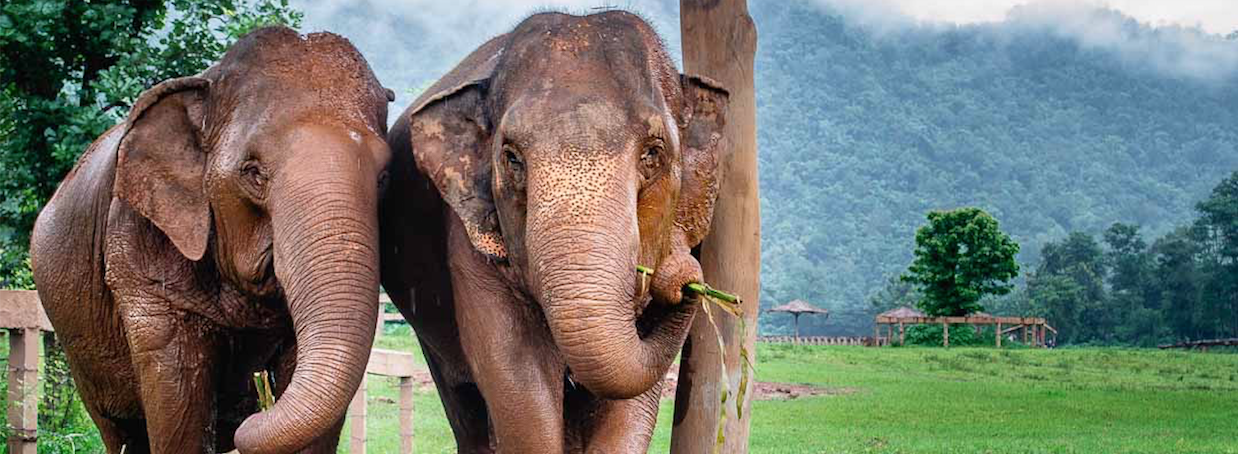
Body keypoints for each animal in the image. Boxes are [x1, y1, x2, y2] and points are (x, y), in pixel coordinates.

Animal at [30, 27, 391, 454]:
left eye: (384, 176)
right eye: (253, 172)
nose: (258, 399)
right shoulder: (138, 243)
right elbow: (178, 387)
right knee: (119, 430)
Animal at [376, 10, 722, 454]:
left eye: (652, 154)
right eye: (511, 158)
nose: (683, 274)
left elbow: (632, 400)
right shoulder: (468, 242)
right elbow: (517, 375)